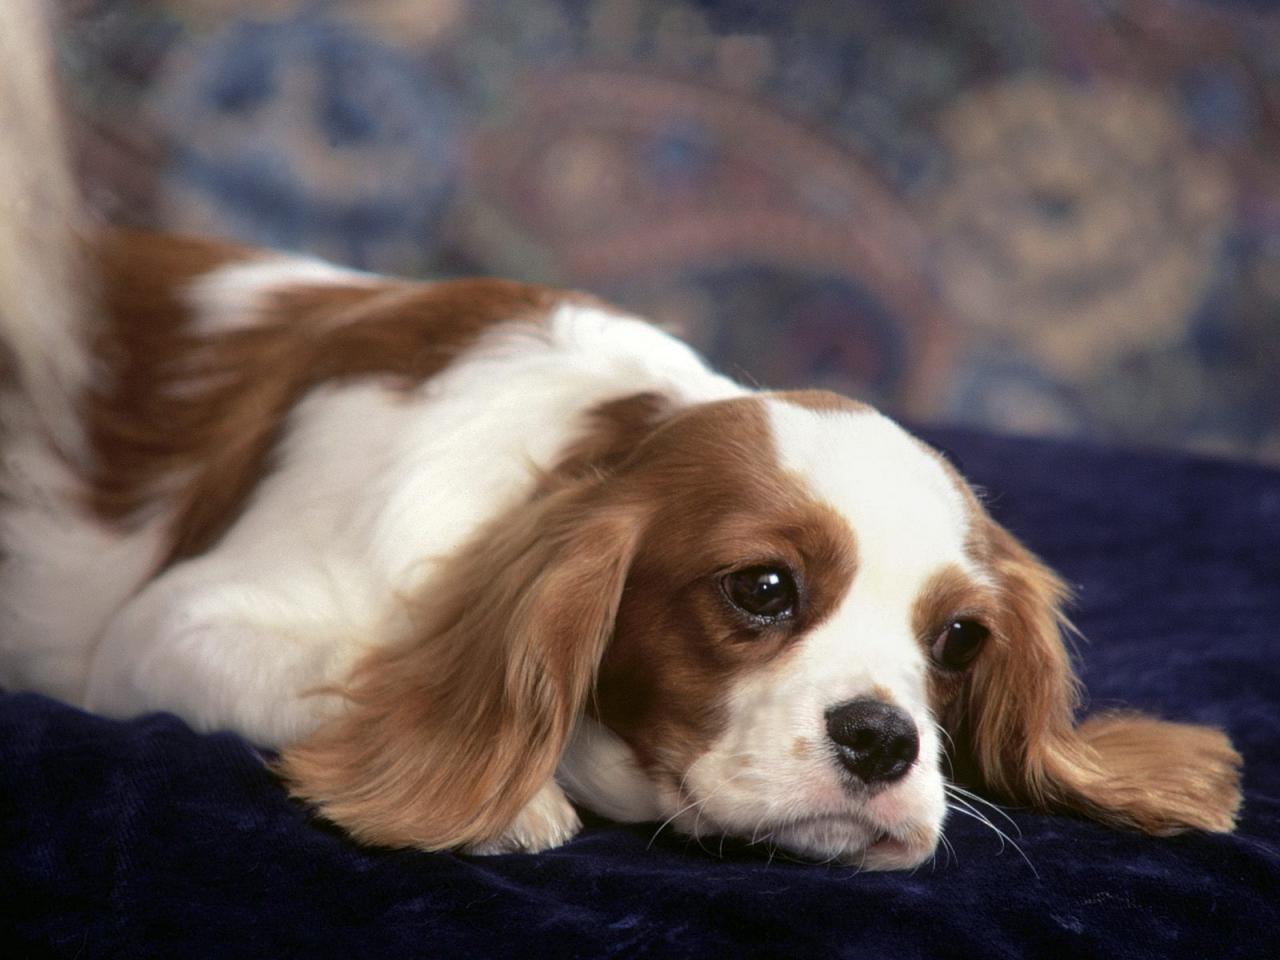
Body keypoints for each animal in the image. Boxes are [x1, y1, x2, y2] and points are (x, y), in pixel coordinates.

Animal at [0, 0, 1239, 870]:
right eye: (761, 589)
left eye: (957, 641)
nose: (885, 741)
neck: (574, 454)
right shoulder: (168, 632)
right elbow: (340, 667)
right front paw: (508, 793)